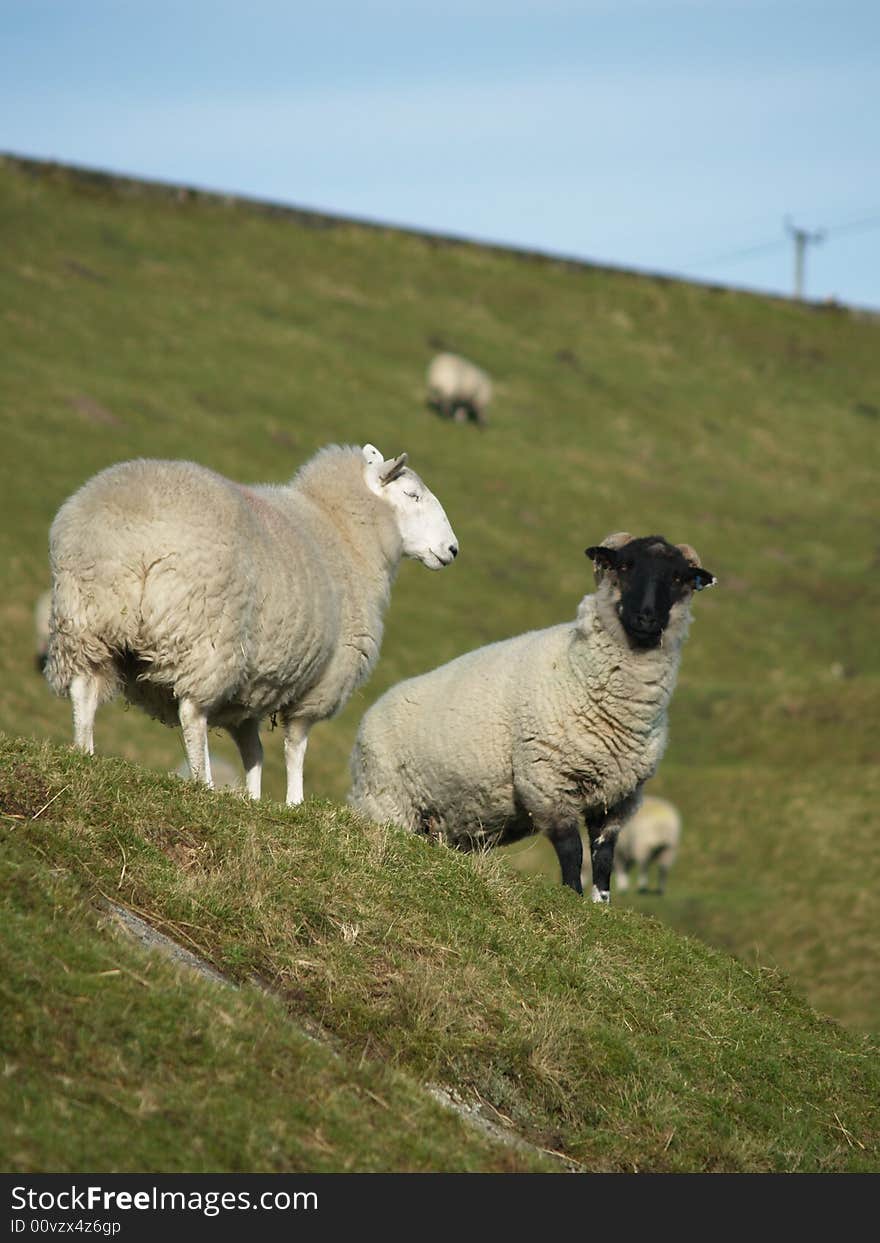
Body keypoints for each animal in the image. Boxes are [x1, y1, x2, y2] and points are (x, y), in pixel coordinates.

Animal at [46, 447, 459, 805]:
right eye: (412, 495)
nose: (453, 550)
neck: (344, 532)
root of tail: (130, 535)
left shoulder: (250, 690)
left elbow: (253, 748)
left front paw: (253, 798)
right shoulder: (320, 683)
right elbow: (295, 746)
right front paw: (295, 803)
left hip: (87, 620)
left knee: (84, 688)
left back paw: (84, 752)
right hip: (206, 637)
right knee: (192, 713)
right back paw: (204, 783)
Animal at [350, 534, 715, 904]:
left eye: (678, 578)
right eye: (625, 565)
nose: (646, 618)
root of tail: (369, 717)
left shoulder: (618, 799)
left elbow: (603, 857)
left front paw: (601, 905)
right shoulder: (548, 782)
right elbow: (572, 851)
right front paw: (572, 898)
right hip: (387, 803)